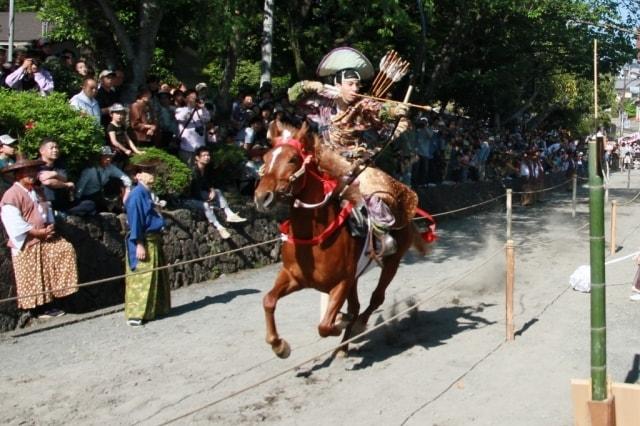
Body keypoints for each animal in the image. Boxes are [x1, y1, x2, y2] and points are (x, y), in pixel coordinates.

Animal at [252, 125, 428, 358]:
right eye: (265, 158)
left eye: (293, 159)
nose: (262, 197)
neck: (315, 240)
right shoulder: (294, 277)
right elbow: (268, 300)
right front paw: (280, 346)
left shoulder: (341, 283)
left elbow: (325, 326)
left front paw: (341, 322)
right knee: (357, 306)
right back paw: (343, 346)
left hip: (392, 261)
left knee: (375, 298)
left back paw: (358, 325)